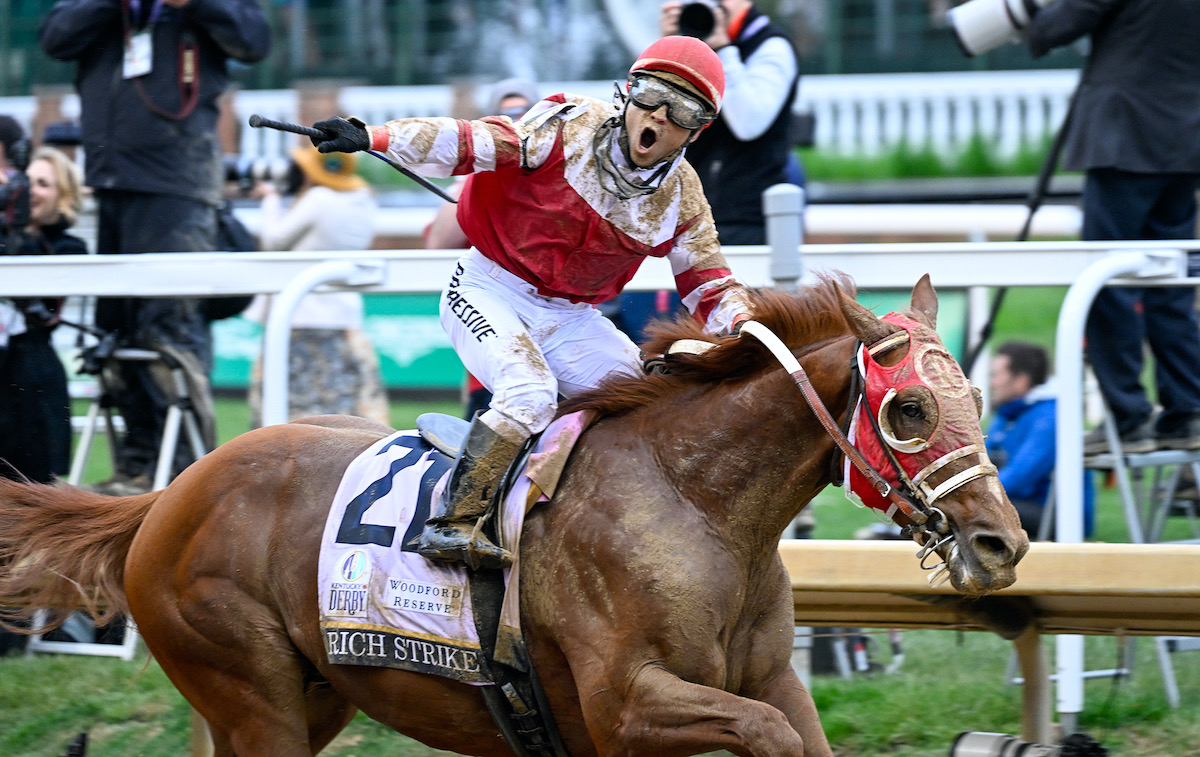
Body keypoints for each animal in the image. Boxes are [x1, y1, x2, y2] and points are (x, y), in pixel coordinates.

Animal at [2, 275, 1032, 757]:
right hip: (249, 688)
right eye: (910, 408)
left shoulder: (773, 678)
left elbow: (797, 730)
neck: (697, 504)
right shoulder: (629, 706)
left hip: (310, 693)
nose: (1003, 541)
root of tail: (166, 496)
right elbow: (759, 733)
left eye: (976, 395)